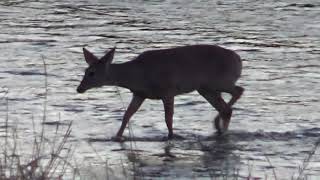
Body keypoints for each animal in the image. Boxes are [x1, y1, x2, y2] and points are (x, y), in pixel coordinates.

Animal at [76, 44, 244, 141]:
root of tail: (239, 59)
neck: (137, 75)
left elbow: (168, 118)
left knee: (238, 92)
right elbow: (127, 115)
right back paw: (218, 127)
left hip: (219, 81)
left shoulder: (168, 90)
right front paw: (117, 136)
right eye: (85, 71)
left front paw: (171, 136)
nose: (79, 88)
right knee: (225, 107)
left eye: (91, 73)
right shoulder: (139, 94)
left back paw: (221, 128)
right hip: (205, 88)